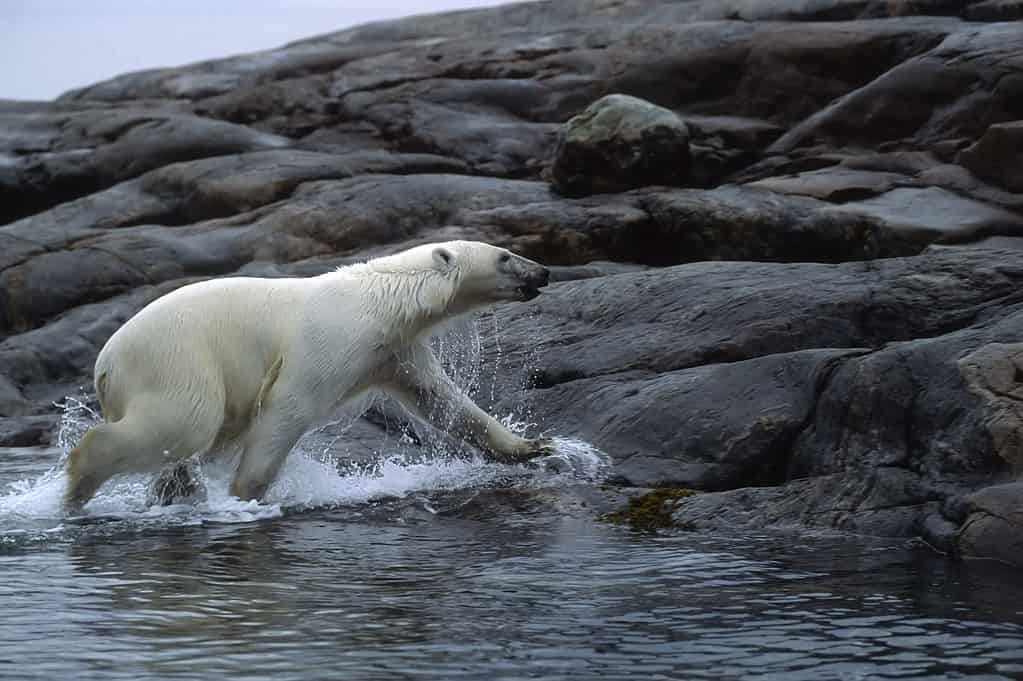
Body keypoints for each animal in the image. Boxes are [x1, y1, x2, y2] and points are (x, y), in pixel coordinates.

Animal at [63, 241, 552, 511]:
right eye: (505, 256)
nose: (544, 271)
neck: (382, 298)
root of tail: (105, 365)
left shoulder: (393, 349)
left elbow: (440, 397)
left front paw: (531, 446)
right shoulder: (330, 340)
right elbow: (288, 407)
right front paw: (245, 494)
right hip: (175, 358)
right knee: (185, 422)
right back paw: (80, 484)